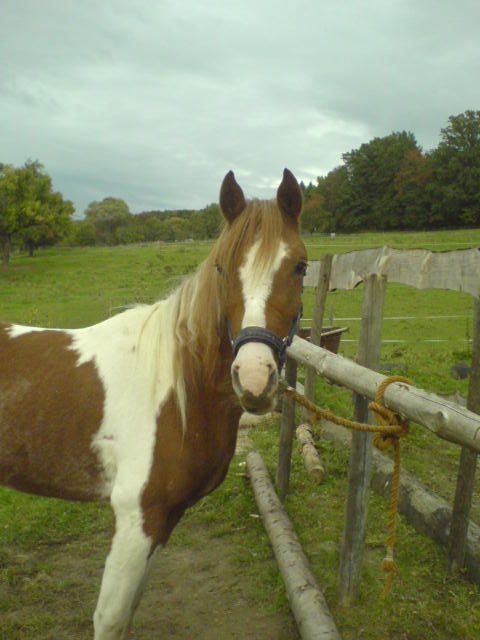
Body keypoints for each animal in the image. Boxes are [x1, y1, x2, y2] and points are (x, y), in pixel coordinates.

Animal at [0, 168, 307, 639]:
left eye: (300, 266)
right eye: (221, 267)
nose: (254, 378)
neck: (178, 389)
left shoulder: (165, 518)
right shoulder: (136, 517)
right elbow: (110, 619)